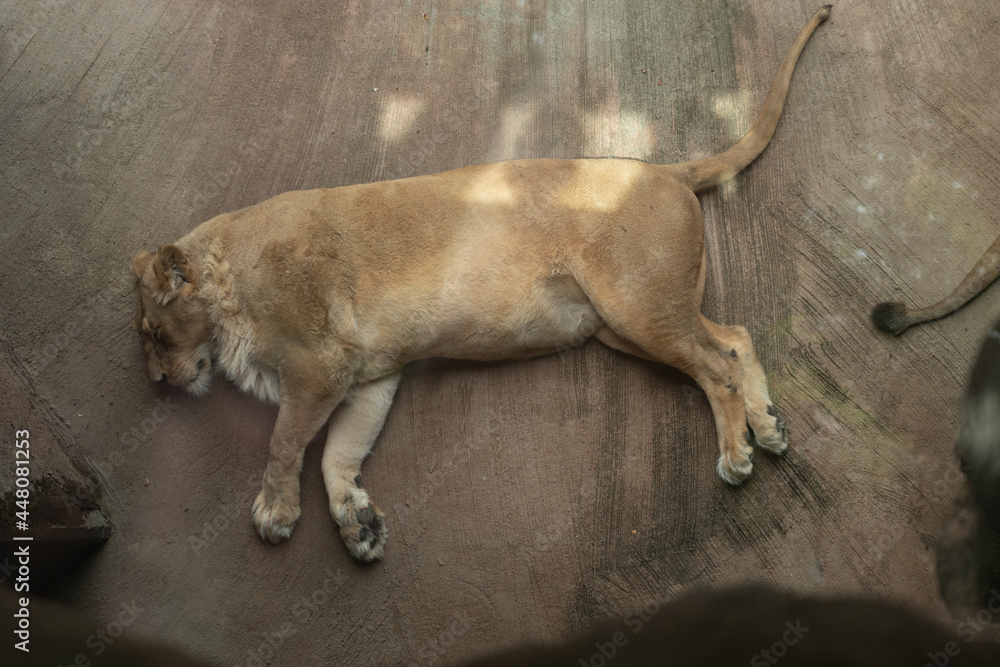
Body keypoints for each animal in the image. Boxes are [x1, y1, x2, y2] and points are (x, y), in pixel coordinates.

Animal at [131, 6, 831, 561]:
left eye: (152, 333)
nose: (158, 381)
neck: (230, 269)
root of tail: (666, 170)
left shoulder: (320, 364)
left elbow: (284, 441)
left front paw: (275, 514)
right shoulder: (370, 373)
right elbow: (338, 454)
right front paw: (359, 524)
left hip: (638, 306)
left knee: (717, 365)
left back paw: (737, 455)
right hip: (628, 320)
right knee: (735, 337)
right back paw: (770, 428)